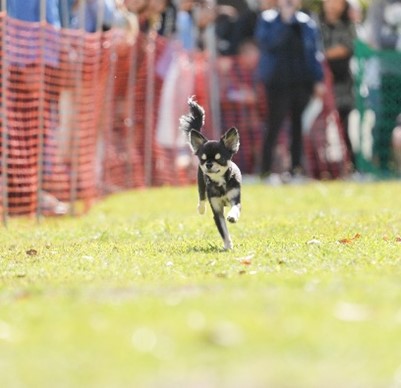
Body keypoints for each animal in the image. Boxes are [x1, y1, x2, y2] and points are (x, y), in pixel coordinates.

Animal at [180, 95, 242, 250]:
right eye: (202, 159)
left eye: (220, 159)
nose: (208, 164)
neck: (221, 182)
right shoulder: (216, 209)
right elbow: (223, 230)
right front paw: (228, 245)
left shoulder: (235, 199)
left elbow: (235, 209)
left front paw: (232, 217)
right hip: (200, 182)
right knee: (201, 197)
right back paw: (201, 208)